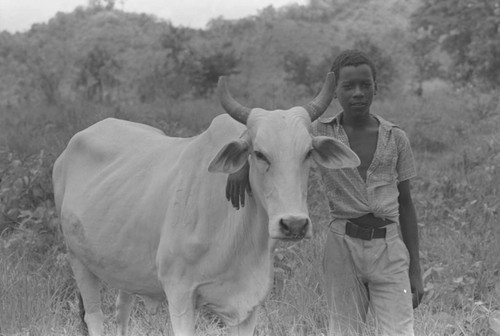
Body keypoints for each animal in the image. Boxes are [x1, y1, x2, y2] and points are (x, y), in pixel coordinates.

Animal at [52, 72, 360, 334]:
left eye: (308, 152)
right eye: (259, 154)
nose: (294, 224)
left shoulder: (248, 305)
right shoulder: (179, 294)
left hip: (123, 268)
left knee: (122, 311)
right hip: (77, 258)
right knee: (94, 317)